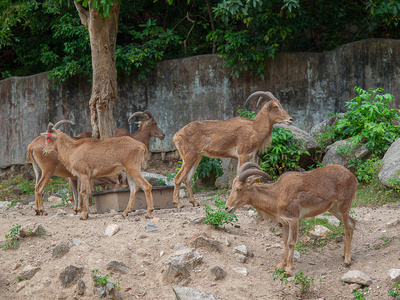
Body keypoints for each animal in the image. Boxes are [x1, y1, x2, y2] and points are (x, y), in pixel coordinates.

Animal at [223, 163, 358, 276]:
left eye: (238, 189)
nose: (227, 208)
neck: (277, 194)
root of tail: (353, 177)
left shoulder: (294, 220)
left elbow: (292, 242)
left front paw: (288, 270)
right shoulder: (284, 222)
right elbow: (285, 242)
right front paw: (280, 265)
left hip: (344, 205)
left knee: (347, 229)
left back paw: (347, 260)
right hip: (334, 208)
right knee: (352, 222)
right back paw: (344, 255)